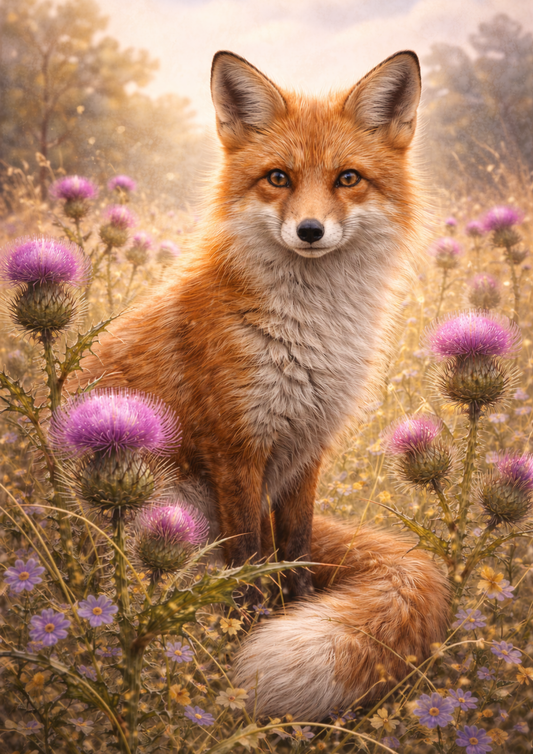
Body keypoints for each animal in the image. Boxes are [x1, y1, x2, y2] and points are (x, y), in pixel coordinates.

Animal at [77, 50, 449, 719]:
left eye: (348, 178)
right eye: (278, 177)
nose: (310, 230)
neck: (309, 336)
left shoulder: (306, 448)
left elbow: (294, 557)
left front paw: (289, 614)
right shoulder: (236, 451)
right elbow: (247, 567)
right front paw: (240, 645)